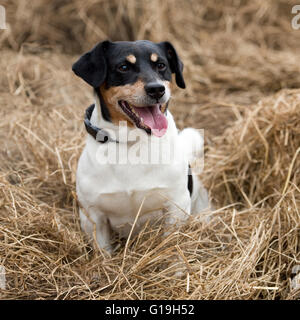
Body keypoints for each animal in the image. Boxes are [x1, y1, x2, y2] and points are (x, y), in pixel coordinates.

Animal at [72, 40, 210, 252]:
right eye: (123, 67)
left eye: (161, 65)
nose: (157, 89)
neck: (131, 142)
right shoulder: (93, 217)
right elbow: (103, 254)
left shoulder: (176, 206)